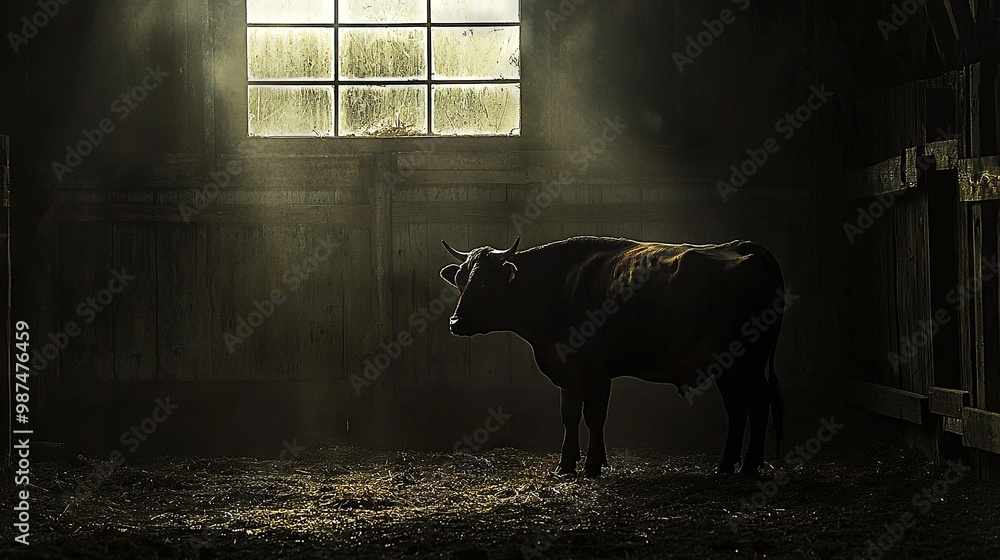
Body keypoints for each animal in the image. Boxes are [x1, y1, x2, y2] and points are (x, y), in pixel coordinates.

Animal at [442, 235, 784, 476]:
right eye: (459, 281)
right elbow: (568, 415)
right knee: (737, 410)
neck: (559, 285)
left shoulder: (595, 368)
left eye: (485, 283)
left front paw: (593, 465)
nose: (456, 323)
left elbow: (594, 415)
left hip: (747, 361)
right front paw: (565, 466)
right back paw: (725, 466)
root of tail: (737, 246)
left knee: (757, 404)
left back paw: (749, 468)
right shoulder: (567, 367)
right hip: (726, 366)